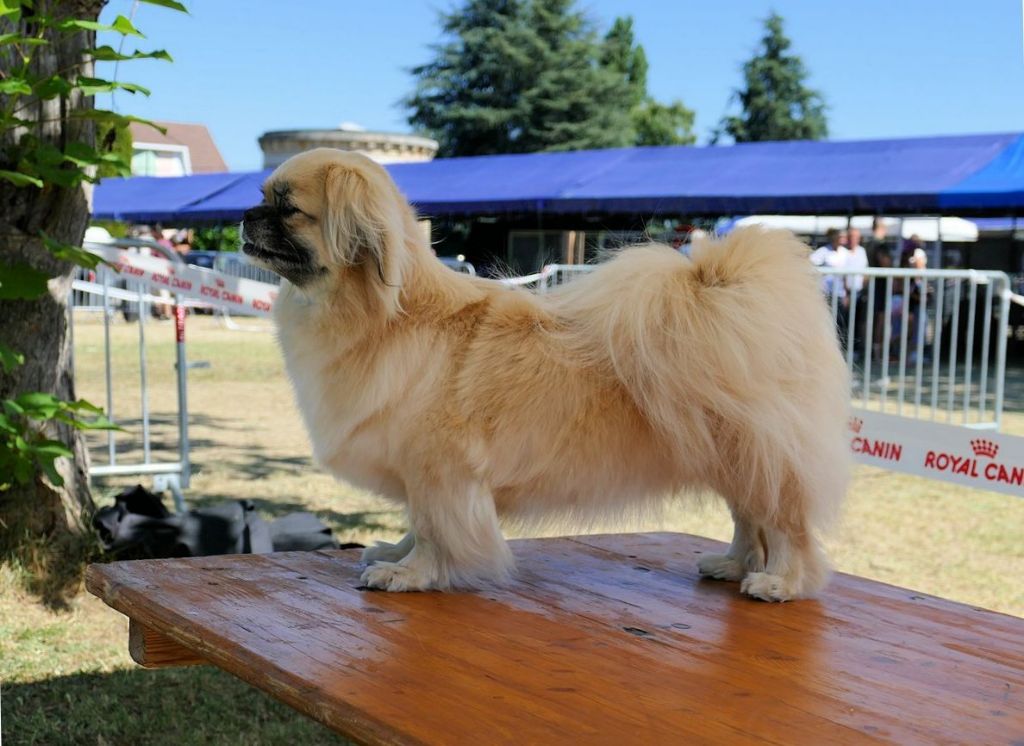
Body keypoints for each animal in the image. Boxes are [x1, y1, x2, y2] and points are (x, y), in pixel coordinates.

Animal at [239, 147, 847, 597]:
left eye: (288, 209)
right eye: (262, 198)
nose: (245, 215)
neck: (389, 316)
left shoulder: (442, 473)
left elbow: (437, 532)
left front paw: (409, 575)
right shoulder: (424, 475)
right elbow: (418, 524)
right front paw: (395, 552)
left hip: (758, 458)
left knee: (785, 526)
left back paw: (778, 583)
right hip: (735, 459)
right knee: (749, 519)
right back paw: (732, 565)